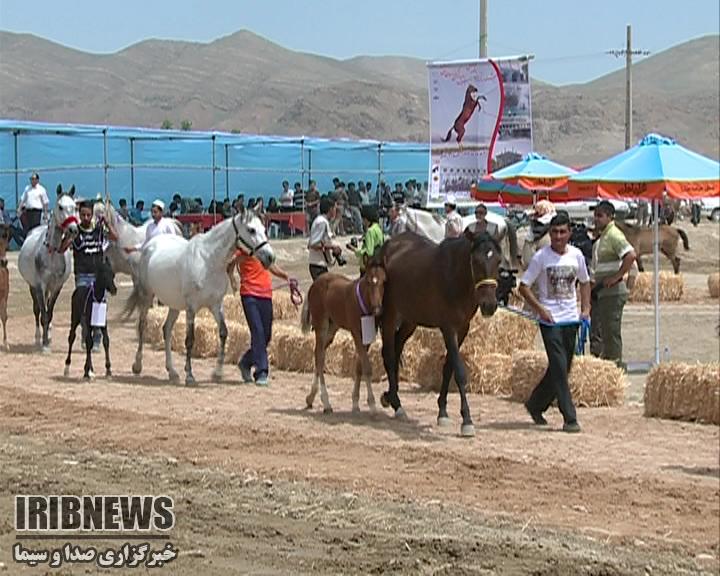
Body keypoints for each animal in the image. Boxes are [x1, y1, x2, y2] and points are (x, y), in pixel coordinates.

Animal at [17, 187, 79, 354]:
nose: (73, 229)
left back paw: (49, 334)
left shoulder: (56, 286)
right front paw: (44, 344)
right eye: (60, 207)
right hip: (32, 286)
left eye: (74, 207)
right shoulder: (39, 286)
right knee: (37, 310)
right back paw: (38, 337)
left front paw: (48, 341)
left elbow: (49, 313)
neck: (51, 253)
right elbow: (42, 313)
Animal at [122, 208, 274, 388]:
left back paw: (172, 372)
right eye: (251, 230)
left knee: (166, 330)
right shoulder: (191, 307)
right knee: (142, 326)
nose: (270, 257)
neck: (209, 261)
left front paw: (217, 373)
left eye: (264, 229)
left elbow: (223, 333)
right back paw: (137, 365)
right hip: (147, 296)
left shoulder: (216, 305)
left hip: (174, 305)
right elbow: (190, 340)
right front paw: (190, 376)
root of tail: (150, 244)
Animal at [300, 256, 388, 414]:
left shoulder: (367, 338)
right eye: (368, 281)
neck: (362, 303)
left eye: (384, 281)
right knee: (319, 356)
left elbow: (359, 367)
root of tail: (314, 283)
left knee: (319, 353)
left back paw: (310, 397)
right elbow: (367, 367)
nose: (377, 309)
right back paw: (326, 403)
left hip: (332, 327)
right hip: (321, 324)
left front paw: (355, 403)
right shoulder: (356, 333)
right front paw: (372, 405)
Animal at [376, 230, 500, 436]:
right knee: (389, 355)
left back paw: (390, 396)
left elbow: (448, 367)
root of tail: (389, 245)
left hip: (411, 319)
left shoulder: (462, 328)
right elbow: (459, 372)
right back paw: (397, 405)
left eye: (498, 261)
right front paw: (467, 420)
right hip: (390, 316)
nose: (489, 305)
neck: (455, 276)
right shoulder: (448, 328)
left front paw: (442, 412)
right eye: (475, 261)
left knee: (397, 346)